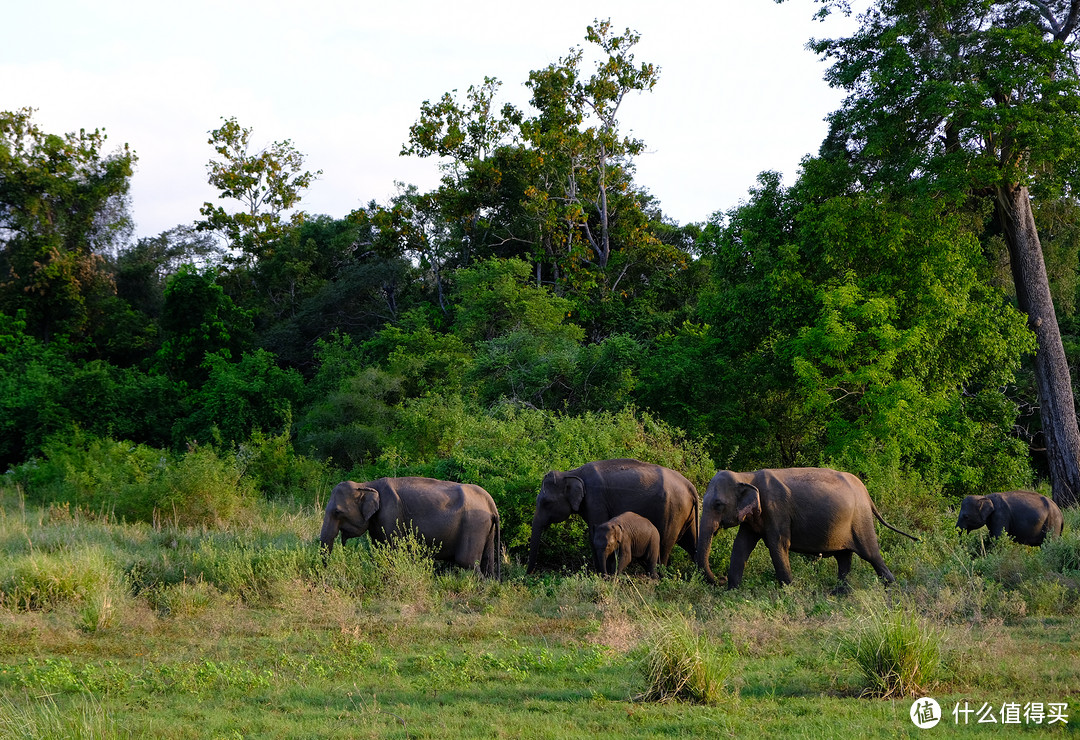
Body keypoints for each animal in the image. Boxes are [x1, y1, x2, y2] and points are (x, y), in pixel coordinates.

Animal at [319, 479, 501, 579]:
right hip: (486, 528)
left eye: (337, 512)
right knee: (487, 562)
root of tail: (491, 504)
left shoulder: (390, 514)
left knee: (467, 562)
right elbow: (381, 550)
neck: (366, 484)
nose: (326, 574)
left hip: (473, 524)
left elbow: (392, 551)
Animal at [524, 458, 699, 574]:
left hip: (673, 511)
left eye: (546, 502)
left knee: (665, 544)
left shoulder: (595, 499)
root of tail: (690, 486)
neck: (572, 472)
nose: (528, 575)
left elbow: (594, 533)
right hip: (686, 514)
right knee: (691, 543)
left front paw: (601, 574)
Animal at [699, 466, 920, 587]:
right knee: (844, 558)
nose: (720, 578)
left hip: (860, 518)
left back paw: (892, 590)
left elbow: (778, 545)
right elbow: (741, 546)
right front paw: (732, 591)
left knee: (871, 554)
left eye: (718, 504)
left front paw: (789, 591)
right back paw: (839, 594)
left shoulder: (776, 509)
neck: (745, 476)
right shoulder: (753, 517)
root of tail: (866, 493)